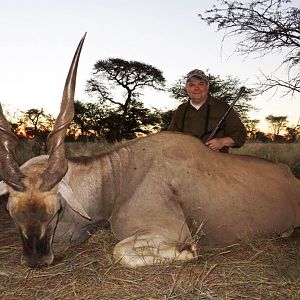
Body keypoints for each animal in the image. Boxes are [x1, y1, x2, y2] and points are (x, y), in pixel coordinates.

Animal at [0, 34, 300, 268]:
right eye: (12, 212)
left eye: (56, 210)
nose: (36, 261)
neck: (119, 178)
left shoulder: (167, 231)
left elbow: (120, 252)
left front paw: (189, 251)